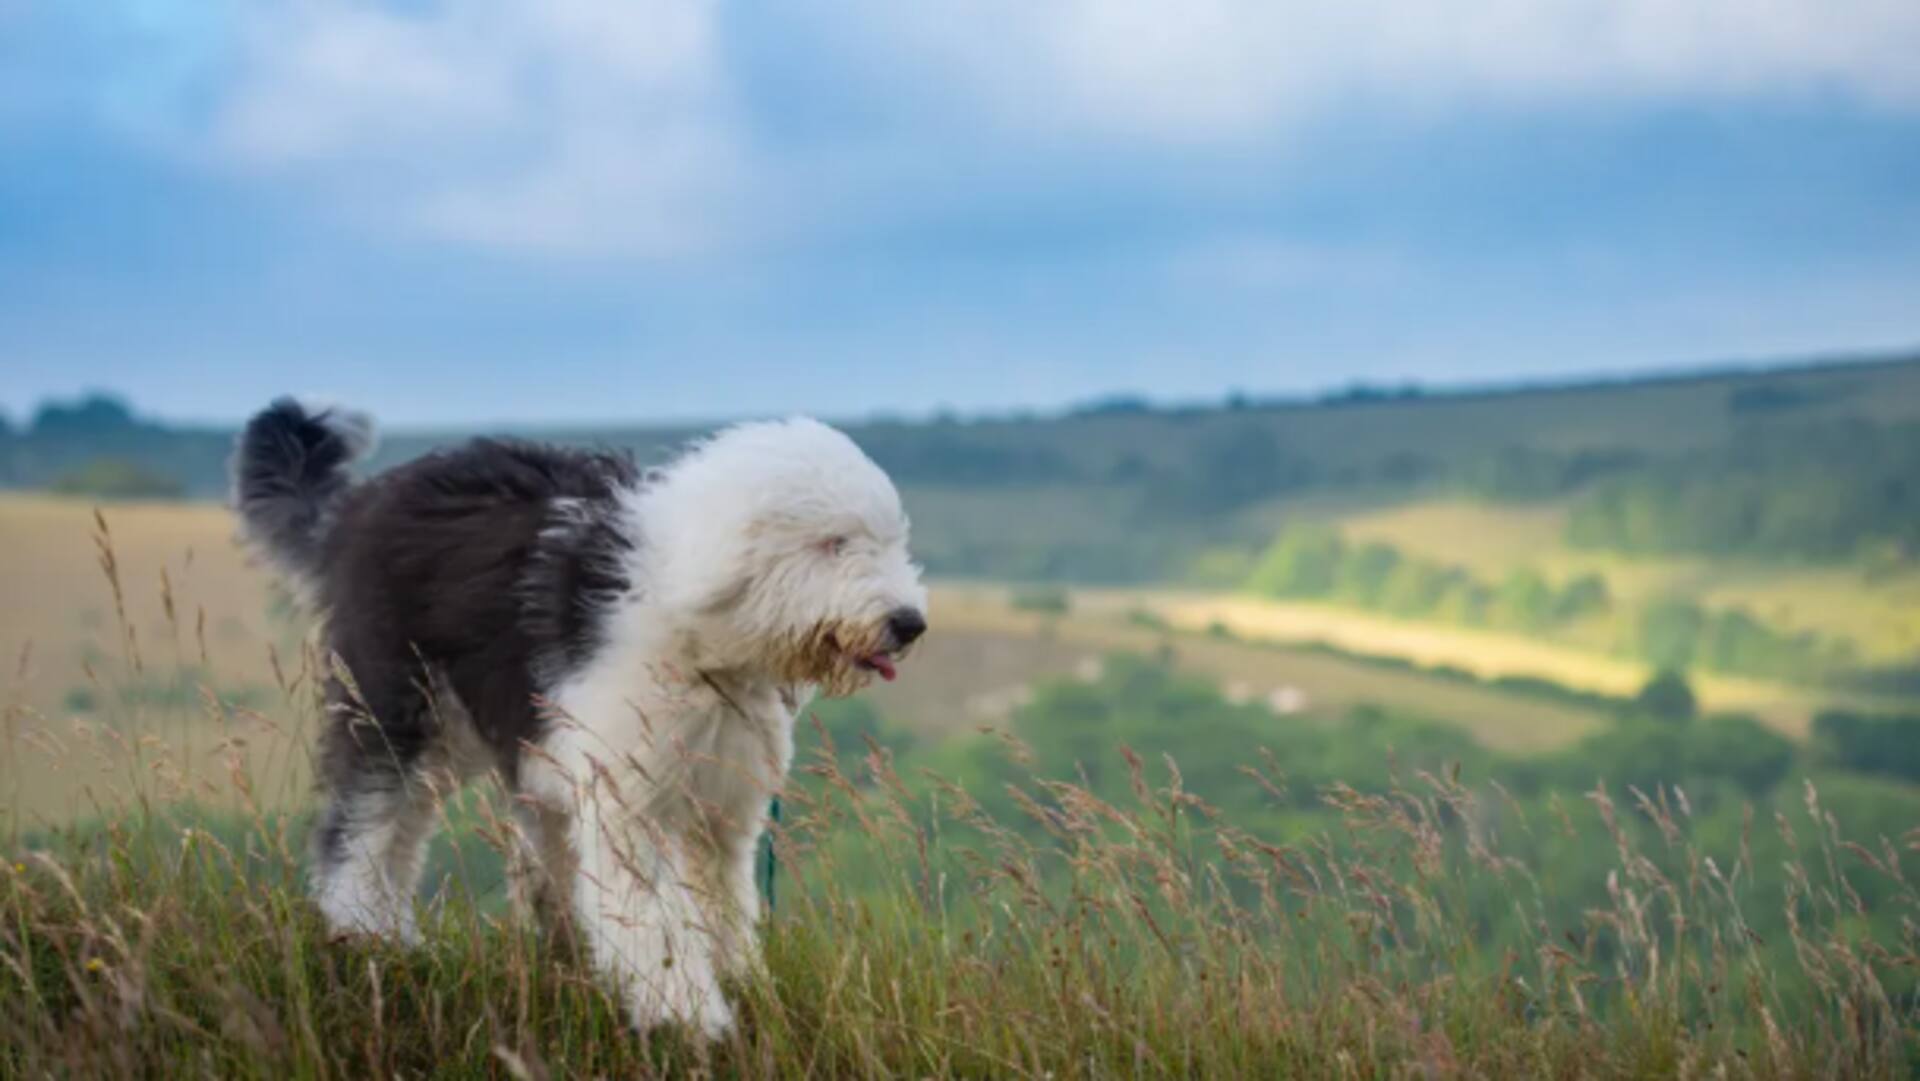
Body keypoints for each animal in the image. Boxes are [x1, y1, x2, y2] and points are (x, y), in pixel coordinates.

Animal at [228, 395, 933, 1029]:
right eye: (833, 543)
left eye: (891, 541)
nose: (910, 624)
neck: (697, 621)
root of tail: (357, 507)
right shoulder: (625, 795)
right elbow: (649, 913)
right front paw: (687, 1016)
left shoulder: (721, 806)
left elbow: (722, 901)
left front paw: (742, 981)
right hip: (397, 701)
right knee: (361, 822)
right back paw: (363, 930)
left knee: (408, 829)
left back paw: (405, 938)